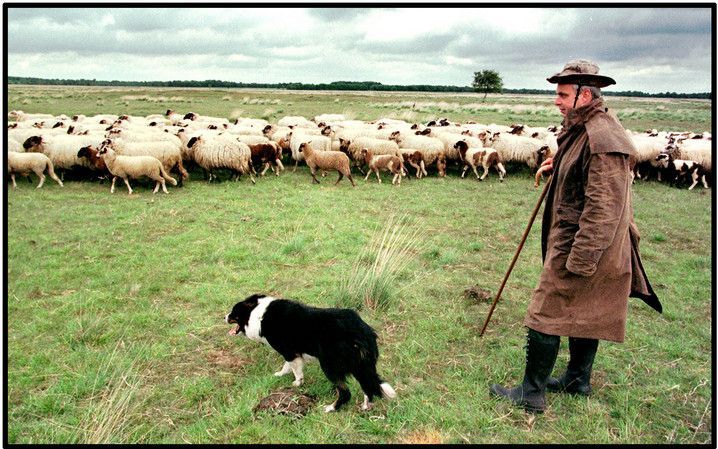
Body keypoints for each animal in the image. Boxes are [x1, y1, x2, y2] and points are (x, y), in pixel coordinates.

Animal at [225, 292, 396, 412]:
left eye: (233, 312)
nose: (224, 317)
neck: (257, 315)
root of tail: (361, 331)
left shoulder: (289, 351)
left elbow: (295, 369)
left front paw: (297, 383)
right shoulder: (292, 352)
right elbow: (287, 366)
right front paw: (281, 374)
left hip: (329, 365)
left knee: (346, 392)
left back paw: (331, 408)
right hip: (360, 365)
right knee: (368, 386)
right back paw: (366, 406)